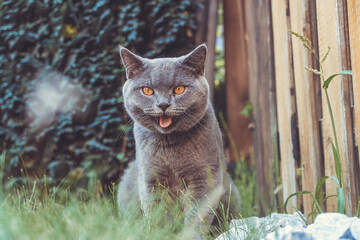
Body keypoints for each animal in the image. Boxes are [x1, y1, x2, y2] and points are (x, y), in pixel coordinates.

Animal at [118, 44, 240, 237]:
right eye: (148, 90)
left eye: (179, 89)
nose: (163, 105)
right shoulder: (151, 179)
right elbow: (158, 214)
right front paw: (161, 234)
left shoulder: (204, 177)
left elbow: (197, 214)